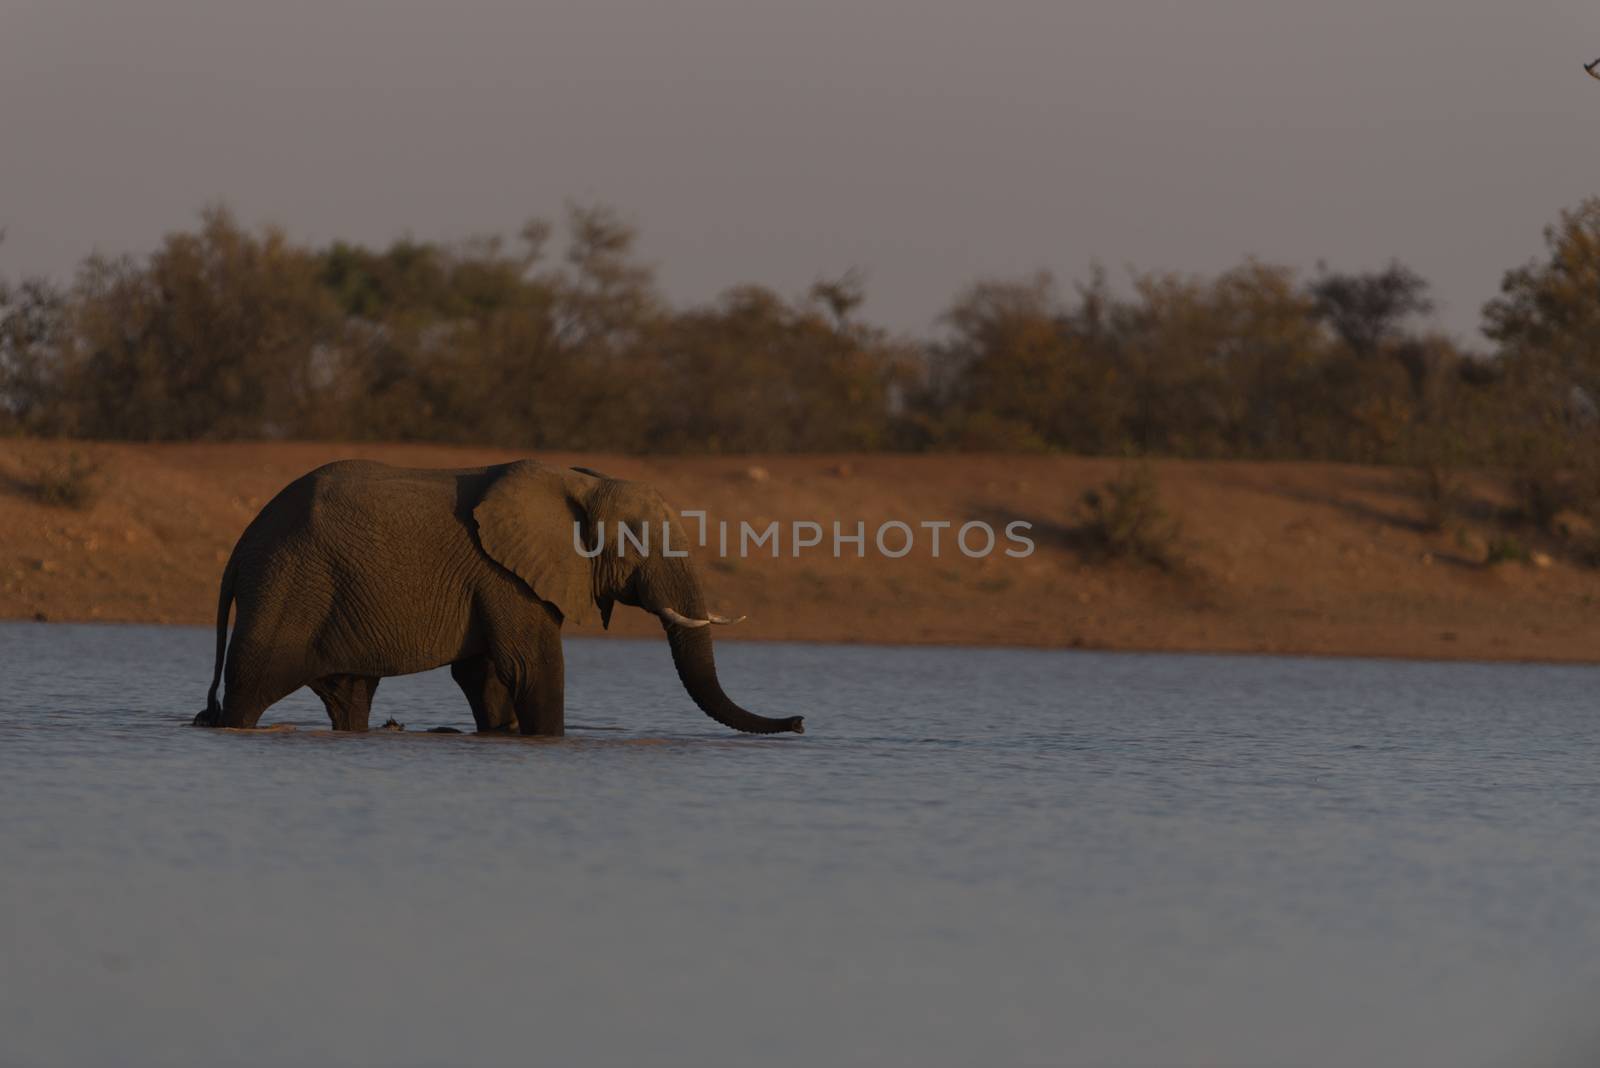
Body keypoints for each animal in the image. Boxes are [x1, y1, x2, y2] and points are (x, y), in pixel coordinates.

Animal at [193, 460, 806, 735]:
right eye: (638, 545)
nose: (800, 722)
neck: (581, 482)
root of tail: (241, 546)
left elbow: (486, 674)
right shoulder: (504, 575)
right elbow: (531, 666)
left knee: (349, 694)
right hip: (288, 583)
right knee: (254, 684)